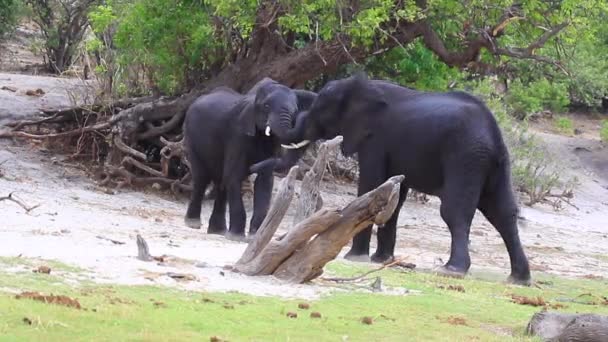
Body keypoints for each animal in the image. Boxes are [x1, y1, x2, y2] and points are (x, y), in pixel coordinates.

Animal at [183, 78, 316, 242]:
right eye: (266, 106)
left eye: (295, 110)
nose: (252, 167)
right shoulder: (237, 135)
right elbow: (234, 176)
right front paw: (237, 237)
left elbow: (264, 181)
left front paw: (254, 236)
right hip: (191, 138)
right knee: (202, 178)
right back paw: (193, 223)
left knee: (221, 181)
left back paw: (218, 231)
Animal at [262, 73, 532, 284]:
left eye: (319, 113)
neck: (360, 87)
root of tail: (494, 133)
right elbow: (394, 196)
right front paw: (380, 260)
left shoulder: (375, 140)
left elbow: (371, 185)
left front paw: (355, 257)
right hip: (495, 164)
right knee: (502, 212)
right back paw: (519, 279)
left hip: (466, 157)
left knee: (455, 212)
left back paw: (452, 270)